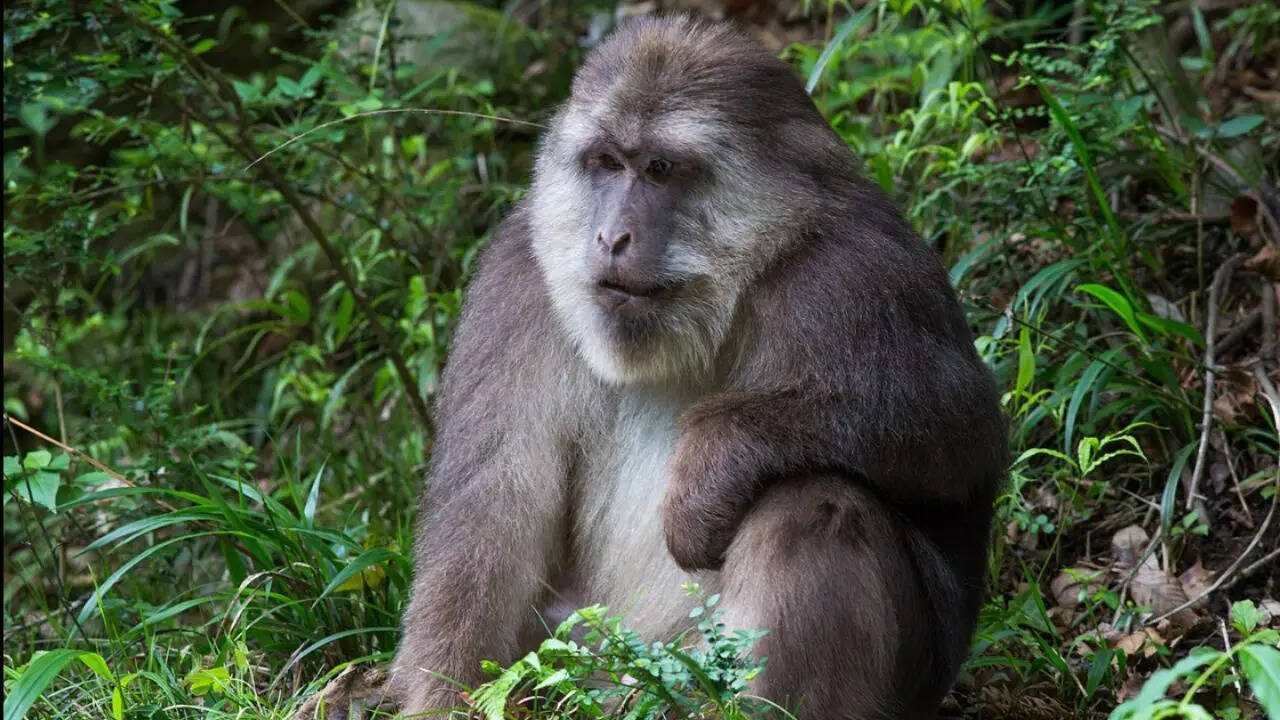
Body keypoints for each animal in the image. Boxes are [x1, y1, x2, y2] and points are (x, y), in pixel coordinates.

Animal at [380, 14, 1007, 720]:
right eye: (606, 164)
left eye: (659, 169)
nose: (611, 238)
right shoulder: (518, 285)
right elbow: (492, 508)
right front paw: (437, 695)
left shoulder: (858, 275)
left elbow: (958, 431)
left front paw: (713, 462)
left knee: (812, 505)